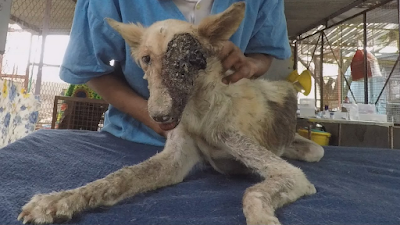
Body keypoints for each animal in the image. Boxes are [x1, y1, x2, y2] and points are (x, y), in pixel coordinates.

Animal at [19, 2, 324, 225]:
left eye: (190, 61)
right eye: (146, 59)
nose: (160, 116)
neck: (200, 115)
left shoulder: (288, 173)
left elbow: (255, 192)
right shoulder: (175, 160)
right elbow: (118, 178)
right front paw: (56, 201)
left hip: (310, 151)